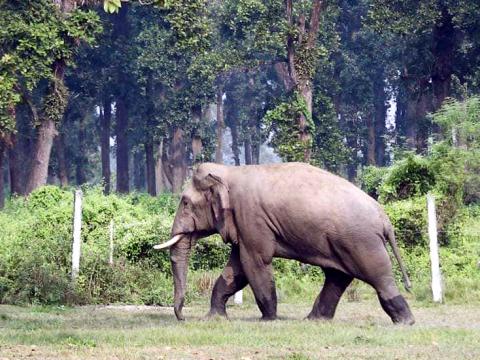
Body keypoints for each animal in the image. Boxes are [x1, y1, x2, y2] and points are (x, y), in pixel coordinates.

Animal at [156, 162, 414, 324]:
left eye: (185, 202)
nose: (183, 318)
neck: (229, 171)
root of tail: (384, 218)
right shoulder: (245, 226)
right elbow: (235, 270)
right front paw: (215, 318)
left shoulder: (251, 217)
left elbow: (255, 263)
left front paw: (269, 319)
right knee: (337, 276)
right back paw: (314, 320)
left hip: (361, 241)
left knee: (378, 277)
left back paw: (405, 322)